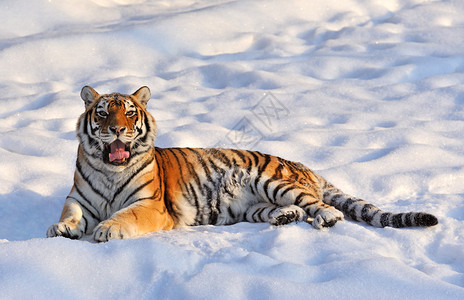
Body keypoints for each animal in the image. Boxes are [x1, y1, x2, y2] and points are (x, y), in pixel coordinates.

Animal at [47, 85, 438, 243]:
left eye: (129, 113)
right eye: (102, 112)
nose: (116, 130)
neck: (109, 171)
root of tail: (304, 165)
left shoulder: (151, 205)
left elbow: (125, 216)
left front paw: (107, 229)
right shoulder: (78, 199)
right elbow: (72, 214)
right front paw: (61, 229)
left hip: (273, 181)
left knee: (324, 207)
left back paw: (325, 219)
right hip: (253, 206)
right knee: (291, 210)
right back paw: (285, 218)